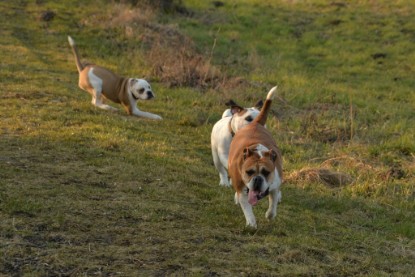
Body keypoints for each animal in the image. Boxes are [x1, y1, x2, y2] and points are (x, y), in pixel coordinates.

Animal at [228, 85, 282, 226]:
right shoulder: (242, 190)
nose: (257, 179)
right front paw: (251, 223)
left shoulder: (275, 186)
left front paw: (270, 215)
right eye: (249, 172)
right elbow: (247, 208)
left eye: (266, 172)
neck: (257, 152)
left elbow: (273, 203)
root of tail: (255, 123)